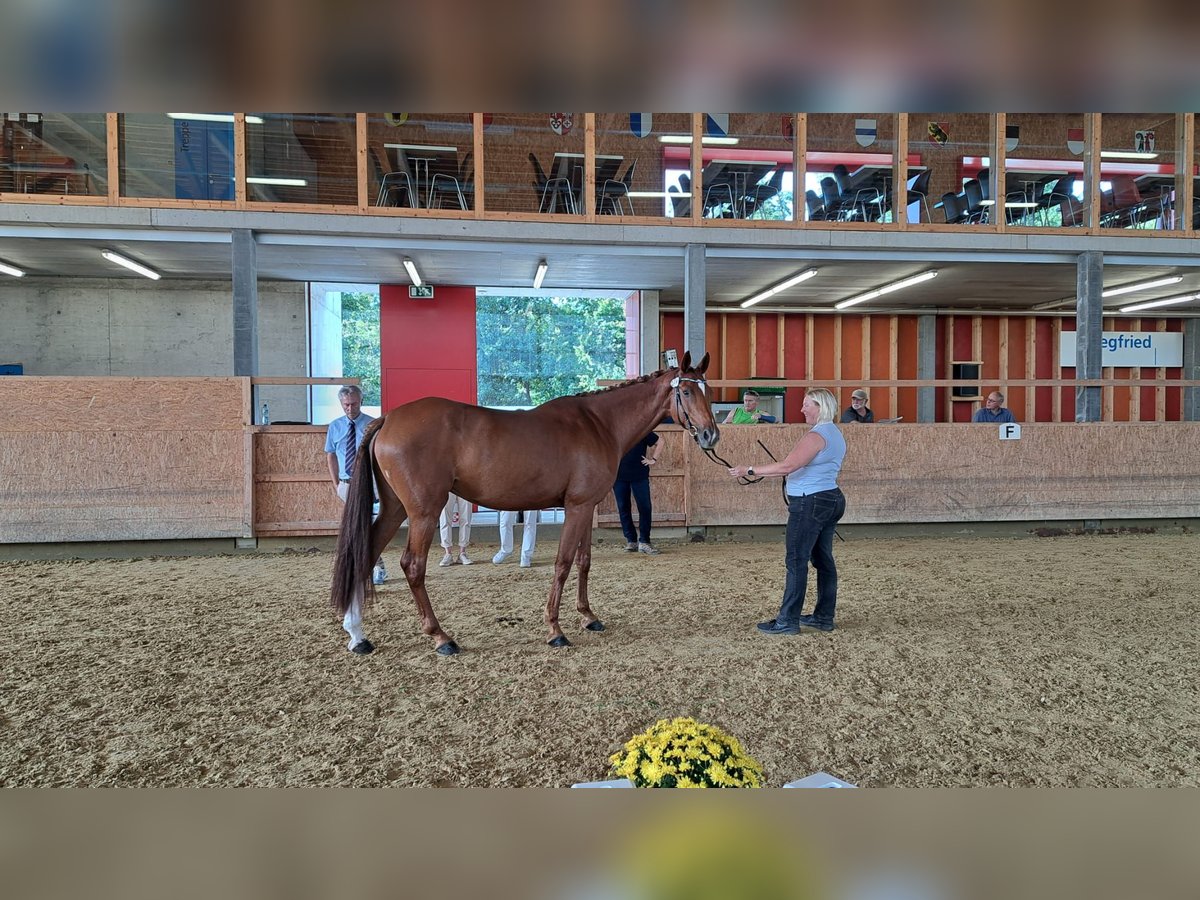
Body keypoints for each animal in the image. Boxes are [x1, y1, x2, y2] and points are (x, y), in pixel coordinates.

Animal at [333, 350, 715, 657]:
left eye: (708, 391)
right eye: (685, 391)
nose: (711, 434)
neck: (598, 424)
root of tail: (389, 419)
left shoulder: (586, 505)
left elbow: (584, 562)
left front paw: (589, 617)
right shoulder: (576, 507)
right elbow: (563, 564)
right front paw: (555, 629)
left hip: (395, 508)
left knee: (365, 553)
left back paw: (357, 635)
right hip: (423, 512)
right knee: (412, 566)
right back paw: (441, 637)